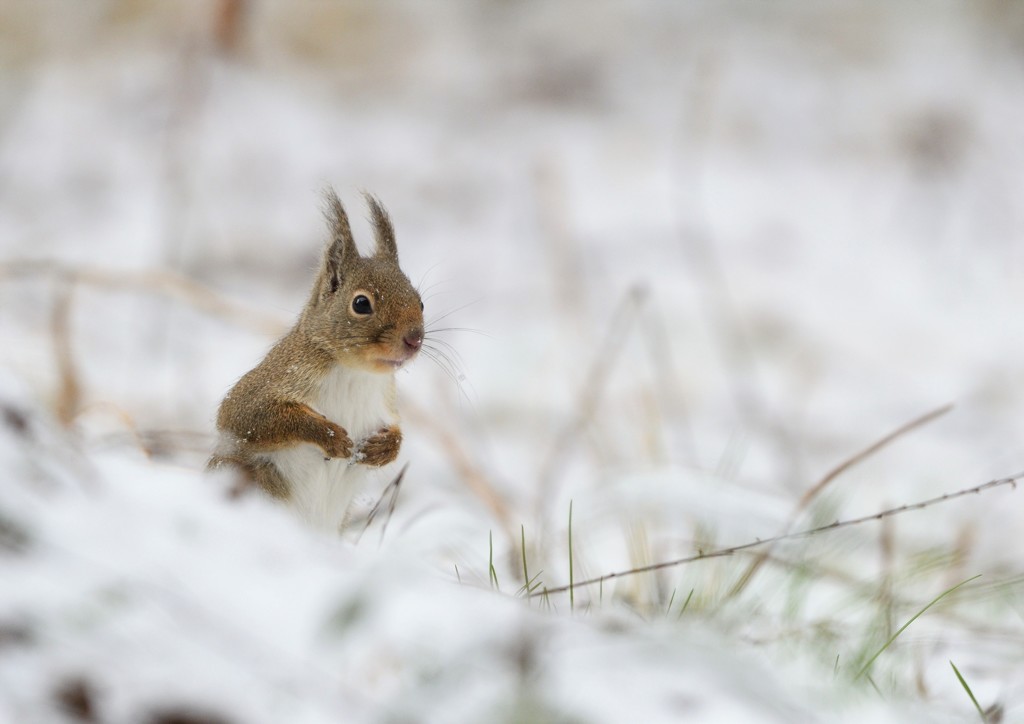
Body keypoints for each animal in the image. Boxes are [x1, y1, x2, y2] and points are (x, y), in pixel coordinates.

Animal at [210, 191, 423, 532]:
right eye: (361, 303)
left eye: (420, 301)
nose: (415, 339)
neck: (356, 373)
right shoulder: (266, 385)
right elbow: (245, 417)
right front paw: (331, 437)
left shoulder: (386, 402)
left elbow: (396, 433)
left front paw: (383, 449)